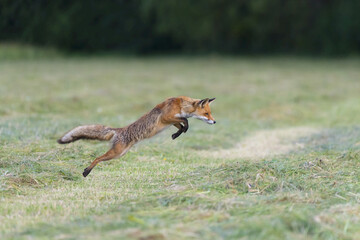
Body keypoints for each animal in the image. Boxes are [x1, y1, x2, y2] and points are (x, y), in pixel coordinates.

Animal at [57, 96, 215, 177]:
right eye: (206, 113)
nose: (214, 122)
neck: (181, 105)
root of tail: (120, 130)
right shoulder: (166, 118)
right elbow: (186, 121)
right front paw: (182, 130)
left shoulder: (170, 121)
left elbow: (182, 124)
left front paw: (176, 134)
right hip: (116, 153)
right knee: (97, 158)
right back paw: (86, 171)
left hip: (119, 154)